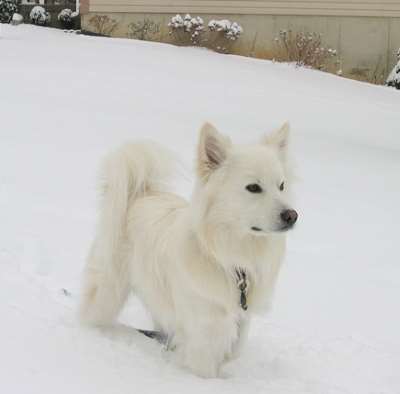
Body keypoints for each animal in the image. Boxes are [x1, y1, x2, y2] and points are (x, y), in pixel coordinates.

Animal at [79, 121, 296, 378]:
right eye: (253, 187)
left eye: (281, 186)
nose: (292, 215)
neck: (231, 257)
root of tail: (140, 195)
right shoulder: (204, 329)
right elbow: (206, 368)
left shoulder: (241, 319)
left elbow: (234, 350)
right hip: (108, 293)